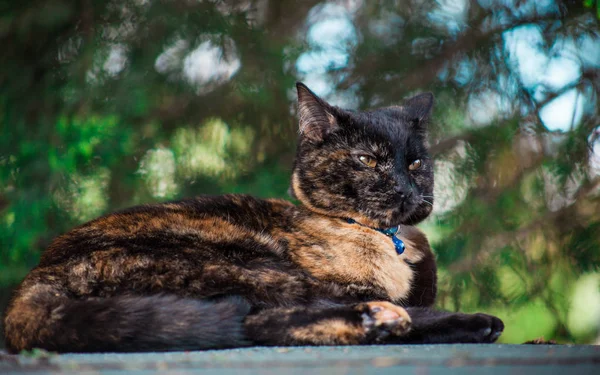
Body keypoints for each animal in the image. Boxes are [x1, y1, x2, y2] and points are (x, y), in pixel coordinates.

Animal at [3, 83, 502, 354]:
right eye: (367, 159)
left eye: (415, 163)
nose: (409, 190)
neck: (390, 242)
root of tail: (35, 280)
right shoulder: (336, 286)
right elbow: (410, 306)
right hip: (247, 262)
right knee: (252, 322)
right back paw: (388, 320)